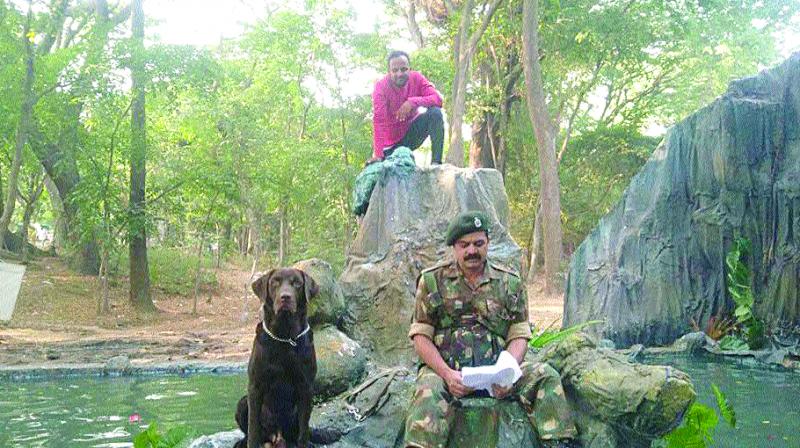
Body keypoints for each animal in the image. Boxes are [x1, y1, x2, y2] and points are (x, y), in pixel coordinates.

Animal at [233, 270, 318, 448]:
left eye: (297, 283)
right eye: (275, 282)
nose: (285, 297)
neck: (285, 337)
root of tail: (277, 436)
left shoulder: (306, 387)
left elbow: (303, 431)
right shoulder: (255, 386)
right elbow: (253, 428)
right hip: (242, 402)